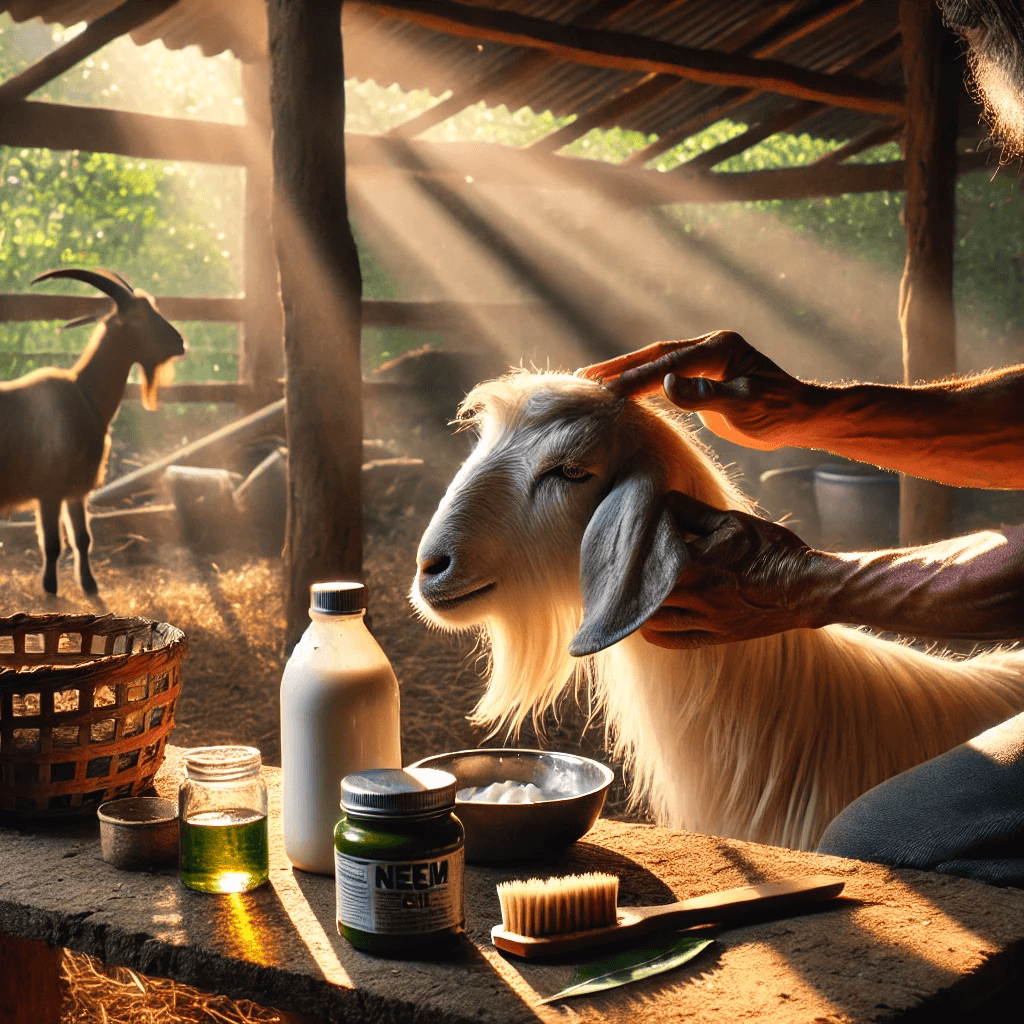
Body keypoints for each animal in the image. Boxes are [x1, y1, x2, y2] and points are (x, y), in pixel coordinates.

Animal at [2, 268, 185, 598]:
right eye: (139, 316)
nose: (180, 342)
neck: (85, 394)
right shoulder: (49, 490)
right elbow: (52, 544)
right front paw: (50, 589)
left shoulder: (75, 489)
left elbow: (82, 538)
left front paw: (89, 585)